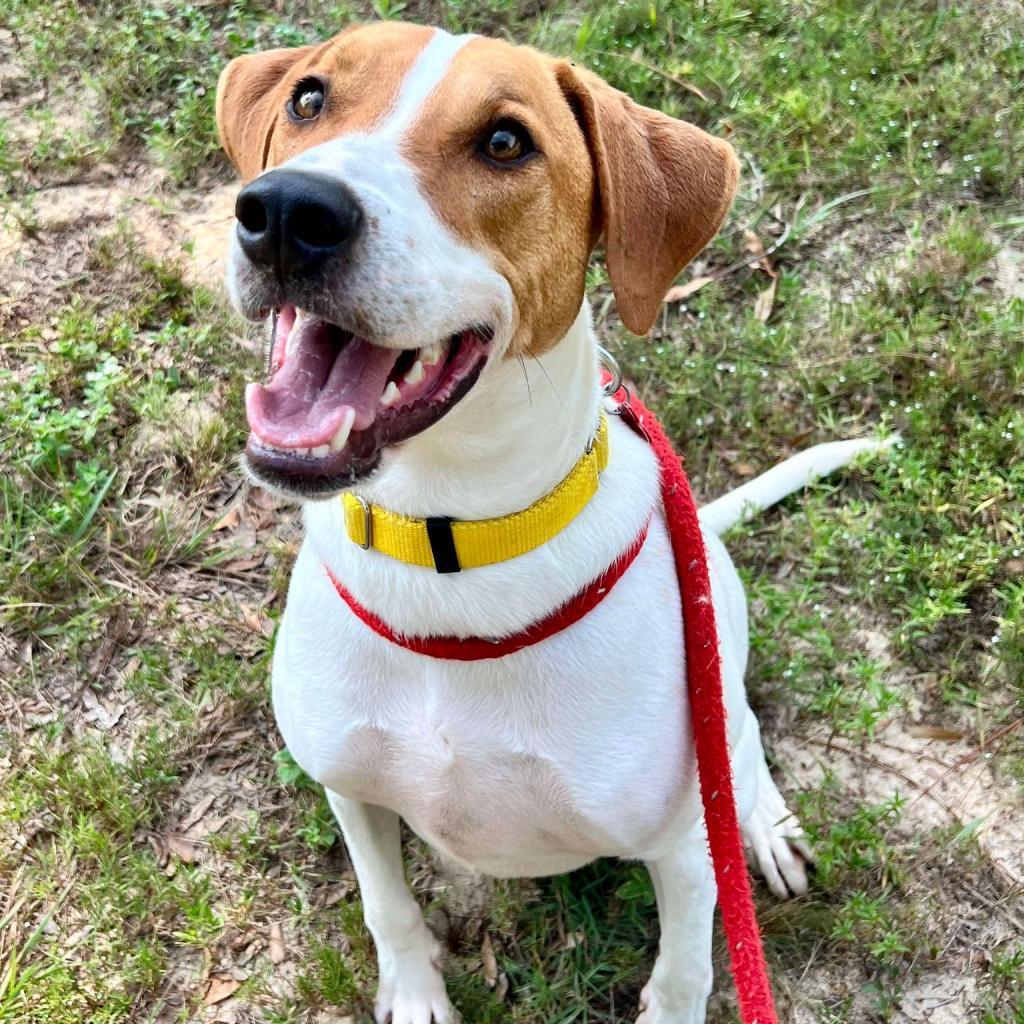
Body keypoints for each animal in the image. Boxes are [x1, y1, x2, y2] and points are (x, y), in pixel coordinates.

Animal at [218, 24, 888, 1024]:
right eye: (308, 99)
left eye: (505, 142)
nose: (290, 211)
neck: (450, 550)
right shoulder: (348, 785)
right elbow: (386, 904)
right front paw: (415, 993)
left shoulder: (683, 848)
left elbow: (685, 970)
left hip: (720, 656)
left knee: (743, 733)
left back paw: (765, 822)